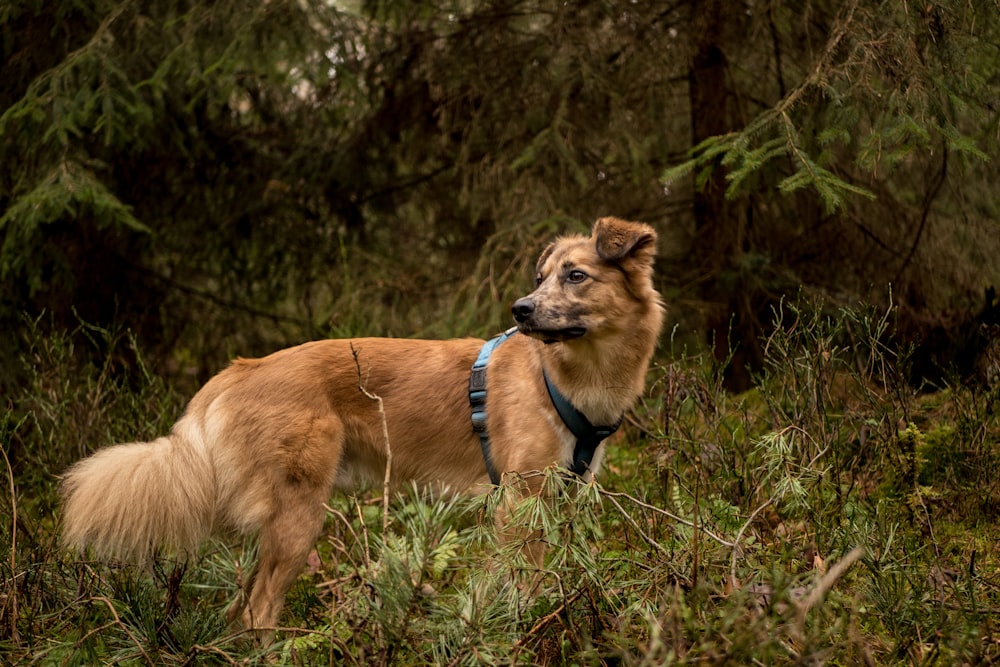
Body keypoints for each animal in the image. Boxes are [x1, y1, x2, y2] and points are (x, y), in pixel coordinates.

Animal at [60, 215, 664, 636]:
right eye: (540, 279)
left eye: (576, 276)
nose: (521, 309)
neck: (565, 378)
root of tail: (241, 369)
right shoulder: (520, 503)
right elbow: (522, 585)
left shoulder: (565, 498)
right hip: (299, 519)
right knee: (258, 612)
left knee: (238, 610)